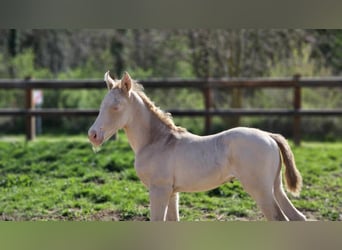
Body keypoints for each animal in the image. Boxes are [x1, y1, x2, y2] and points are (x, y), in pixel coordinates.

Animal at [88, 71, 308, 222]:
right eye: (101, 106)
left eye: (116, 107)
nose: (93, 135)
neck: (157, 141)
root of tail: (269, 136)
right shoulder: (172, 192)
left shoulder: (158, 189)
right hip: (275, 187)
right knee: (297, 217)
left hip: (260, 189)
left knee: (279, 218)